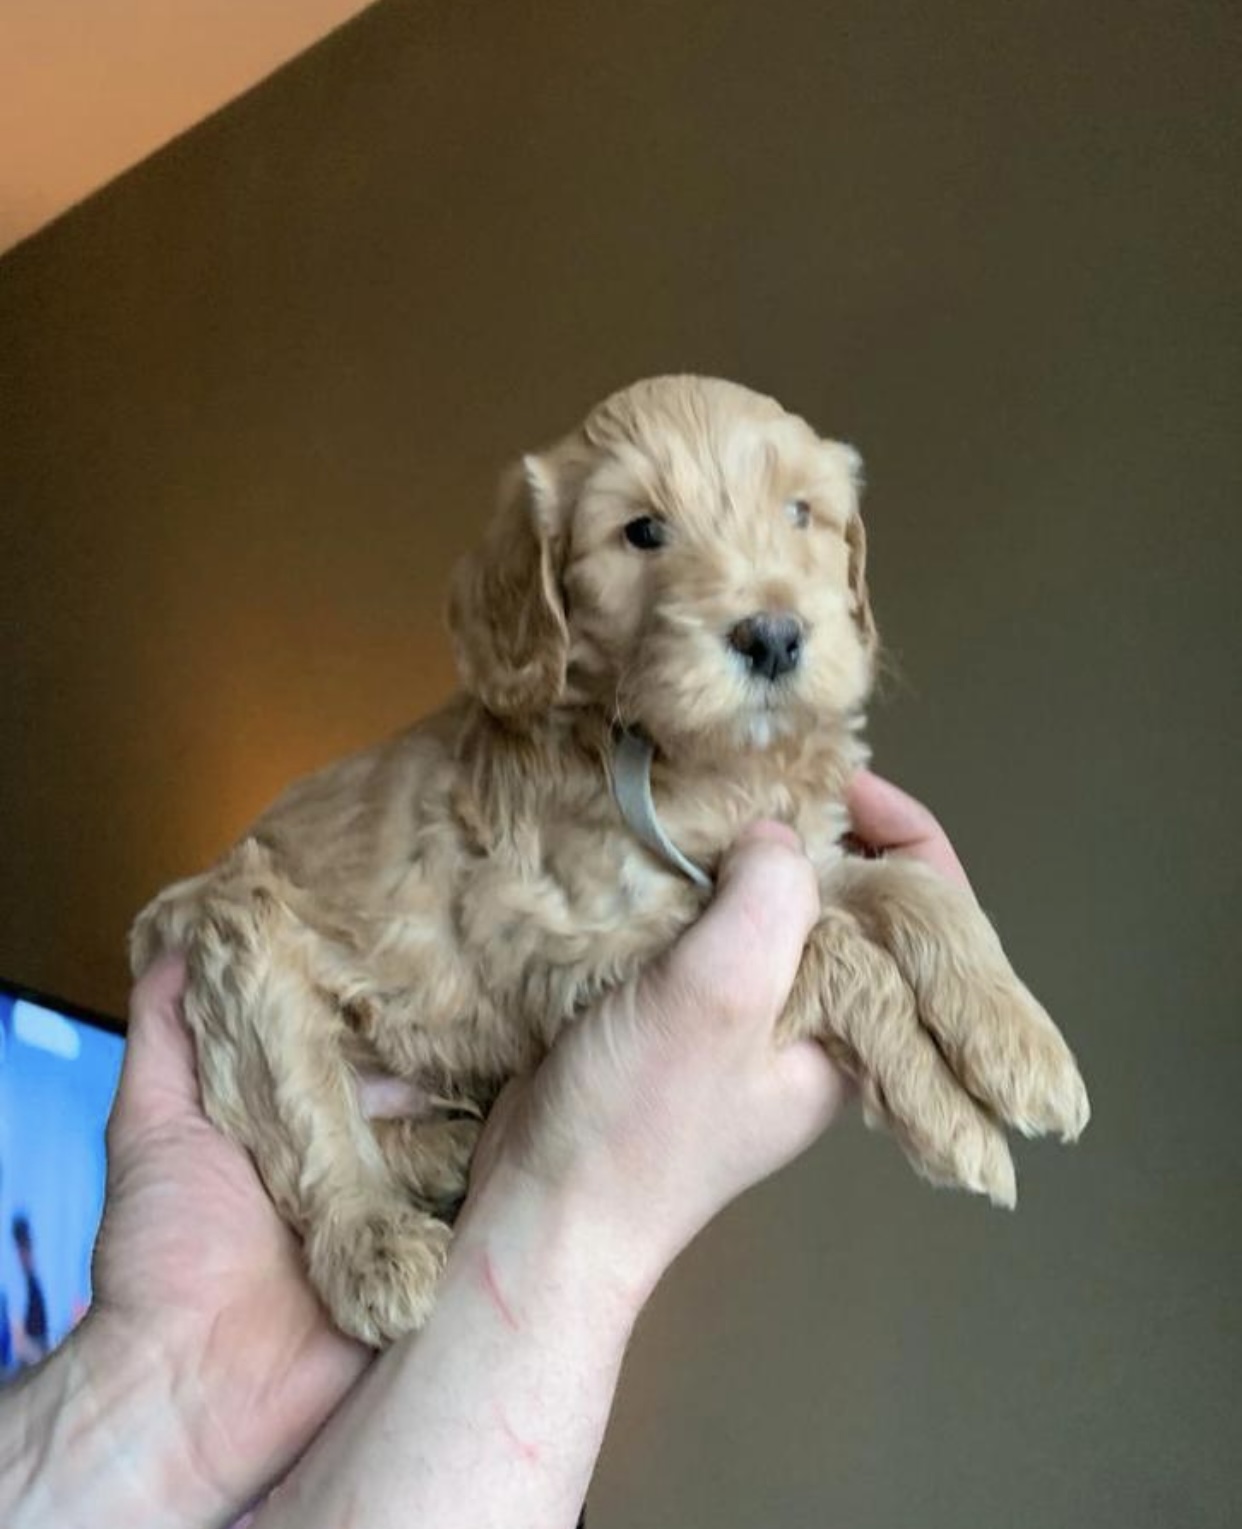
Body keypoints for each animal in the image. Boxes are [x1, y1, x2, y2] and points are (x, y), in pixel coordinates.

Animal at [130, 376, 1089, 1345]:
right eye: (643, 531)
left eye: (801, 513)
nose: (774, 636)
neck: (693, 760)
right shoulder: (569, 944)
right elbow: (833, 944)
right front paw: (951, 1121)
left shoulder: (799, 851)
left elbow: (914, 888)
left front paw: (1023, 1045)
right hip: (245, 956)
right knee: (312, 1125)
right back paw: (378, 1248)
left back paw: (450, 1147)